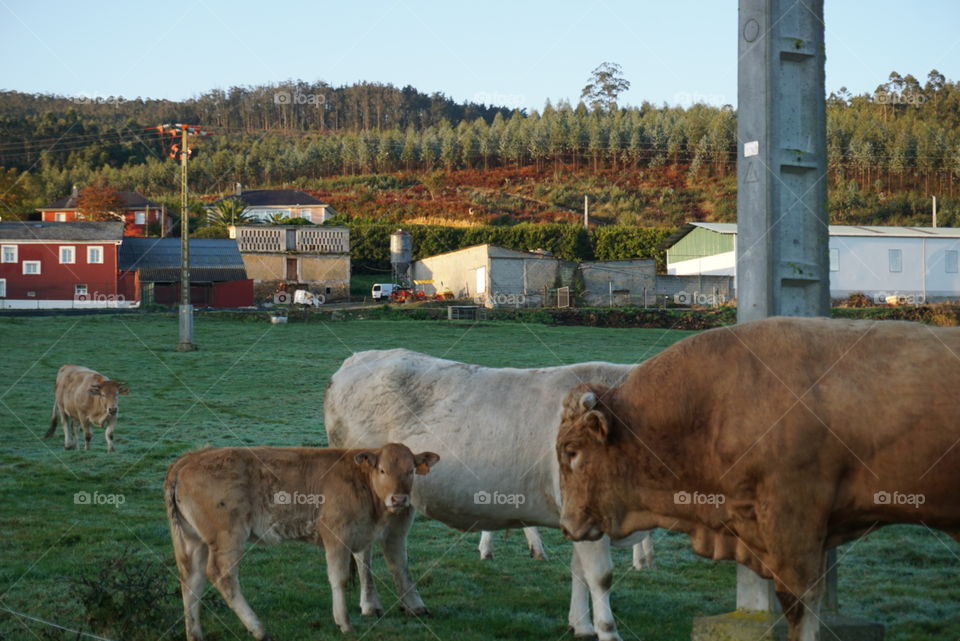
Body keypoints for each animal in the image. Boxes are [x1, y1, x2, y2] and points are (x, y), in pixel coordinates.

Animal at [164, 442, 440, 640]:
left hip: (193, 539)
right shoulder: (336, 534)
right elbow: (338, 577)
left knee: (192, 578)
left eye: (411, 470)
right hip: (228, 535)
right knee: (221, 574)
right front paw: (344, 622)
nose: (398, 499)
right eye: (382, 470)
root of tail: (189, 458)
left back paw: (195, 633)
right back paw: (258, 629)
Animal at [325, 349, 654, 641]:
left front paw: (581, 625)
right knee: (363, 550)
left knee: (393, 545)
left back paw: (414, 604)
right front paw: (607, 632)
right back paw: (370, 604)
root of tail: (359, 358)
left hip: (401, 499)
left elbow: (580, 571)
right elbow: (600, 576)